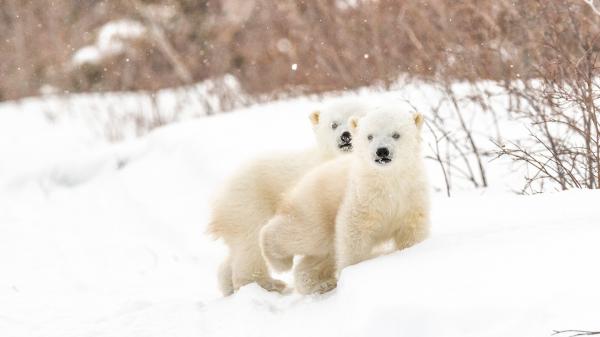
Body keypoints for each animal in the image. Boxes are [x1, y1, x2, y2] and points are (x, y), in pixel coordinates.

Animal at [209, 97, 372, 294]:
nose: (346, 136)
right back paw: (267, 284)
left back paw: (228, 284)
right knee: (251, 243)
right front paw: (321, 282)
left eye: (358, 119)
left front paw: (321, 280)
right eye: (334, 124)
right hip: (249, 202)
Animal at [260, 106, 428, 292]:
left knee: (319, 254)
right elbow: (353, 234)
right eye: (369, 136)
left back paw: (320, 283)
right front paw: (353, 271)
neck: (387, 181)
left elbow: (412, 230)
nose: (382, 151)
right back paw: (281, 263)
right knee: (303, 234)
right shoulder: (360, 196)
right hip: (316, 208)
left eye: (396, 134)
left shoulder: (411, 196)